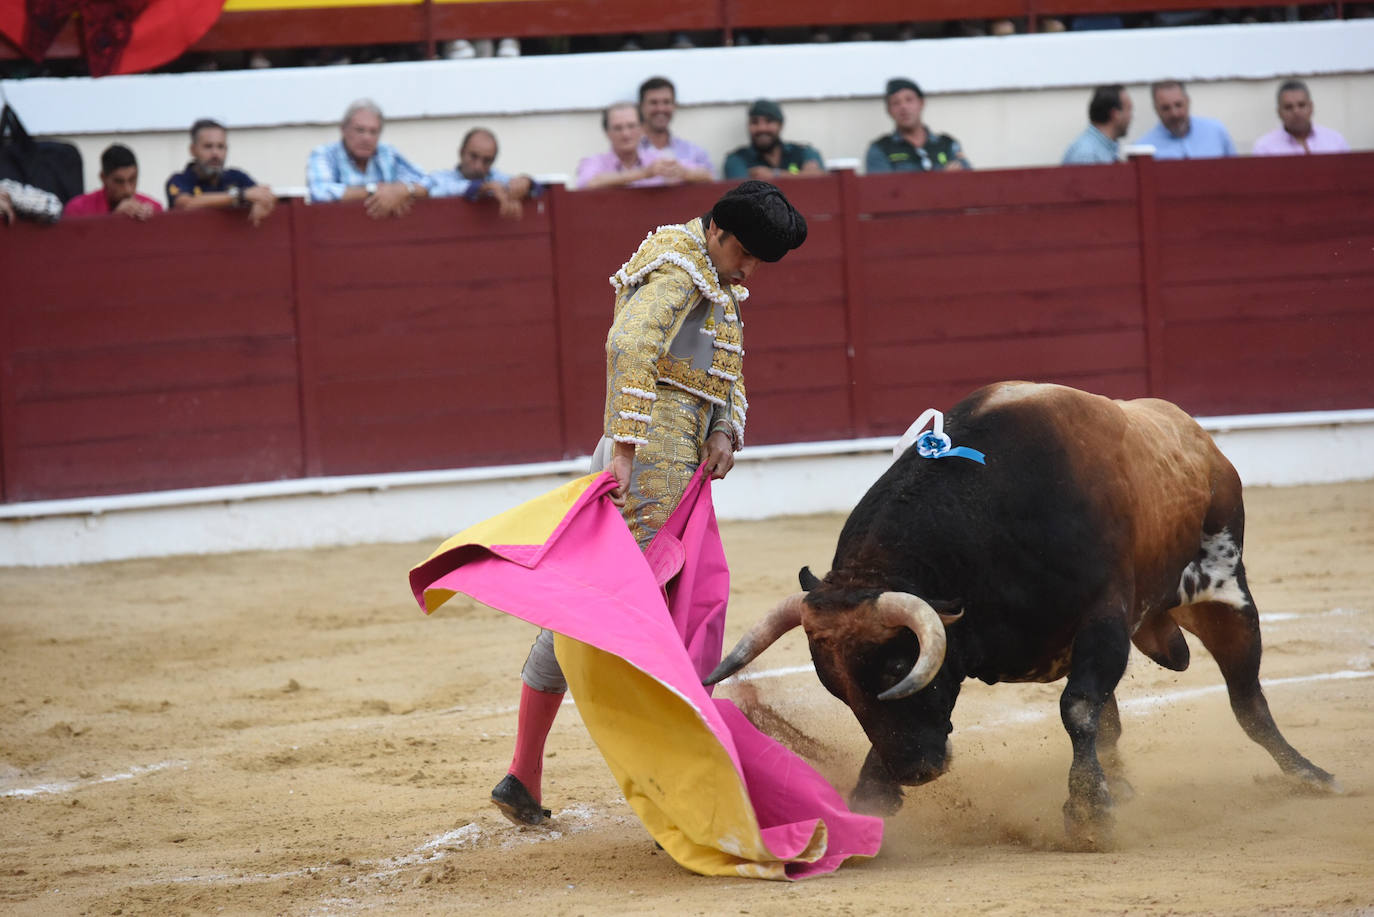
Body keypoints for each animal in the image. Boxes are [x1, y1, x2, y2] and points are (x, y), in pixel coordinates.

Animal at [708, 379, 1341, 846]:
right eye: (837, 690)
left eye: (894, 669)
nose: (914, 773)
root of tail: (1197, 439)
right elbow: (1093, 713)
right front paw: (870, 800)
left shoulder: (1104, 619)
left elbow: (1078, 708)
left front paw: (1089, 815)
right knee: (1124, 716)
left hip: (1223, 593)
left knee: (1247, 700)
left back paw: (1311, 775)